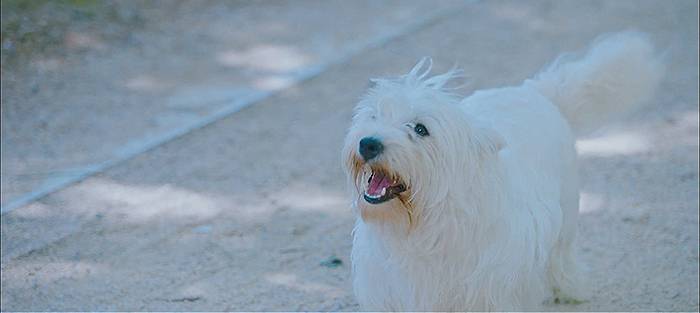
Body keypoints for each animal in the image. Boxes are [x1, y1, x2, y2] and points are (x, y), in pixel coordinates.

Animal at [342, 31, 664, 310]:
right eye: (374, 115)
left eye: (421, 129)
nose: (367, 143)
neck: (424, 225)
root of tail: (534, 91)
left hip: (567, 213)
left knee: (562, 255)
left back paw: (571, 289)